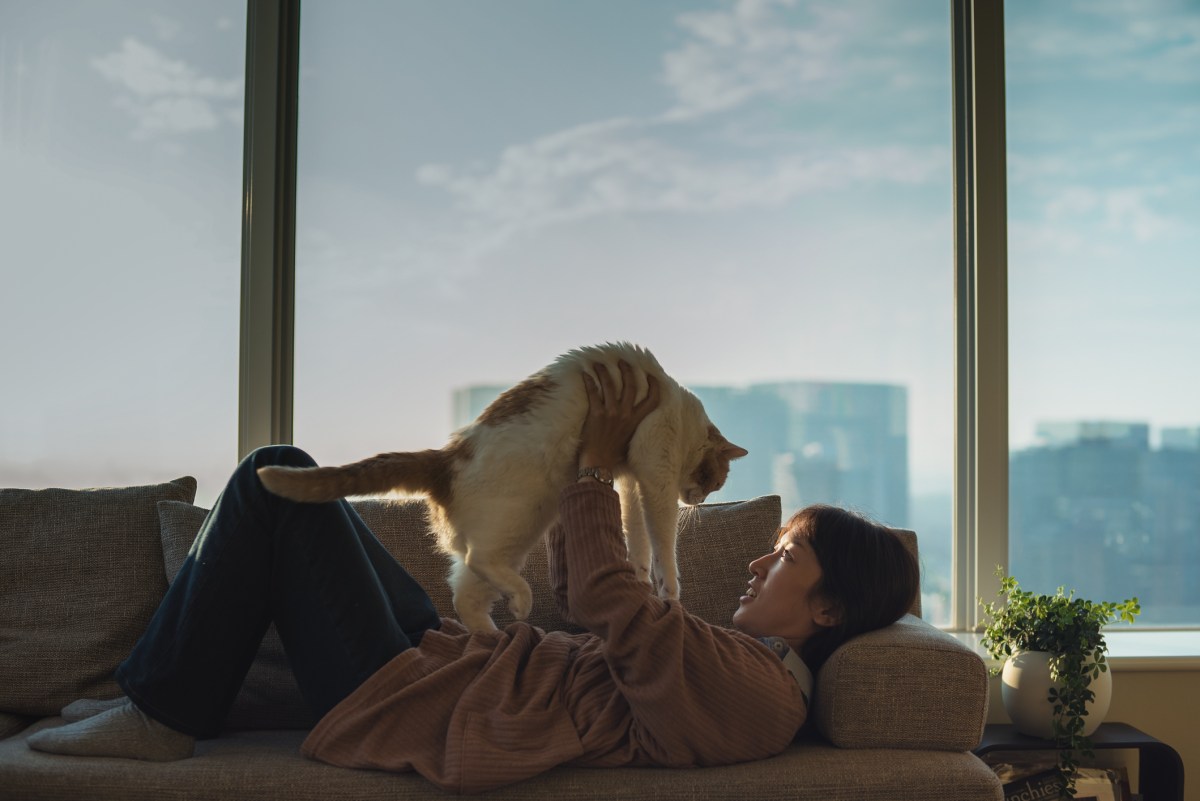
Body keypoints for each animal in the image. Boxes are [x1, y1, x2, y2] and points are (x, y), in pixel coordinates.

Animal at [258, 342, 744, 633]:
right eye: (714, 481)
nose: (698, 500)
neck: (680, 410)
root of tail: (447, 457)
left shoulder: (627, 480)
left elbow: (636, 536)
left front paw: (641, 575)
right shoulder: (653, 478)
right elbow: (662, 538)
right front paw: (668, 590)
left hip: (511, 536)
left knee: (465, 594)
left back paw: (493, 640)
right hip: (522, 516)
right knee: (480, 561)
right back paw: (520, 608)